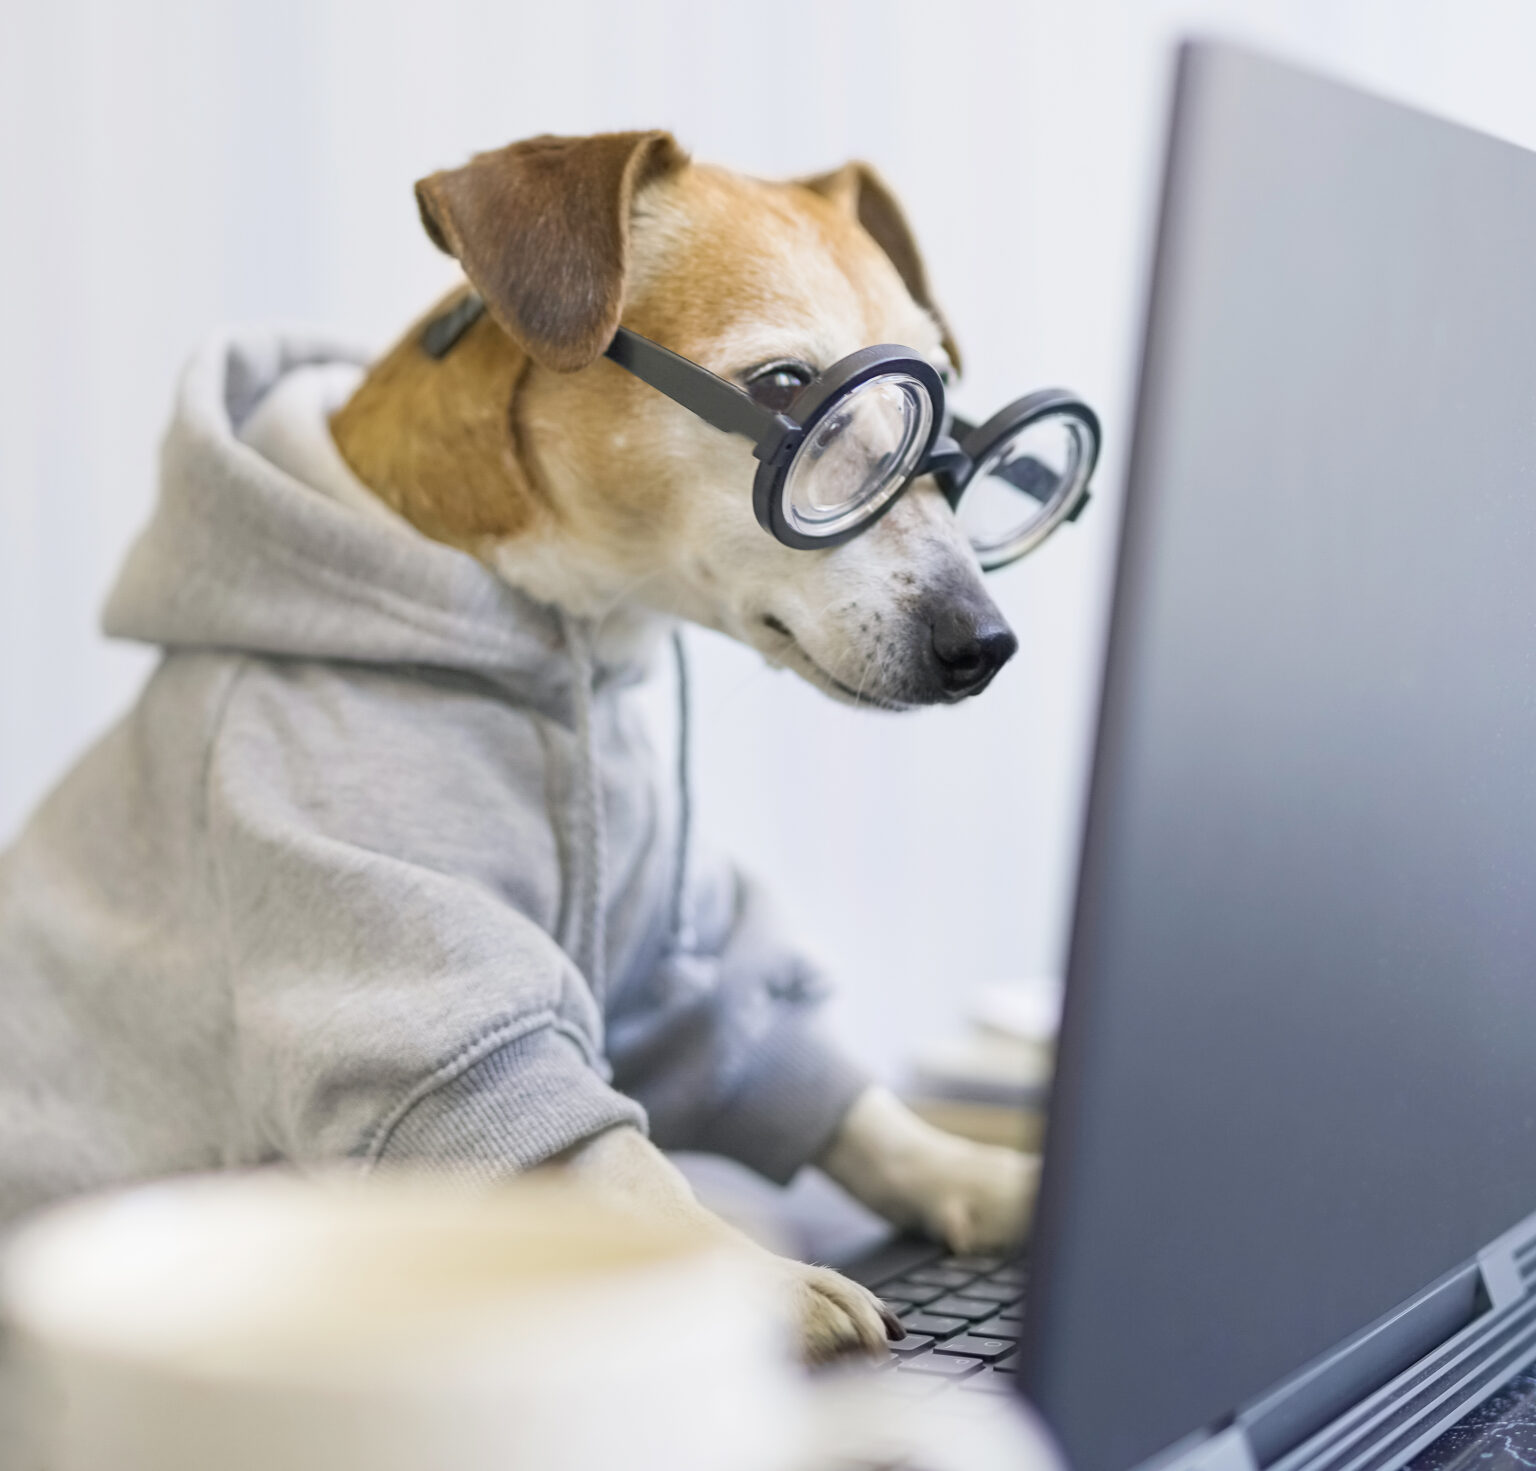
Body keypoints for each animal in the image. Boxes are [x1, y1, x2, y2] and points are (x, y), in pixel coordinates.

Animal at [0, 132, 1044, 1363]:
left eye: (944, 412)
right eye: (788, 388)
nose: (986, 643)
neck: (569, 642)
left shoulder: (672, 964)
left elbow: (832, 1094)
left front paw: (986, 1173)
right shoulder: (417, 1000)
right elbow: (619, 1169)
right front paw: (764, 1280)